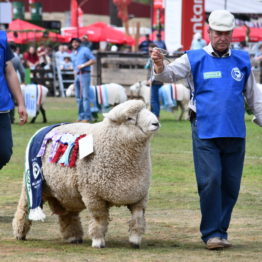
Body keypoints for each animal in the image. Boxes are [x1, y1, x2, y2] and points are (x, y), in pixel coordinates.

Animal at [12, 99, 160, 249]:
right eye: (129, 118)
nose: (156, 123)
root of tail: (44, 129)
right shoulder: (93, 195)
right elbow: (99, 219)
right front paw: (98, 241)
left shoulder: (139, 196)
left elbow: (138, 219)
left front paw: (135, 240)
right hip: (33, 184)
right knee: (24, 208)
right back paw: (19, 233)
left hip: (66, 192)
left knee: (68, 214)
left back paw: (73, 236)